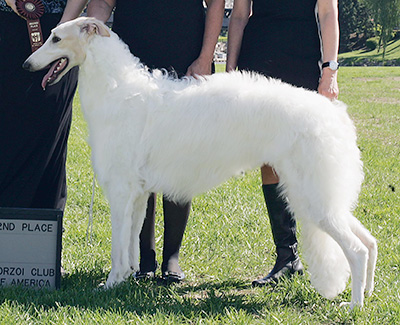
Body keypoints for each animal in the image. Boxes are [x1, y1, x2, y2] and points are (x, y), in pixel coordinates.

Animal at [23, 18, 376, 308]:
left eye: (55, 38)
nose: (27, 65)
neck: (118, 89)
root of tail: (334, 113)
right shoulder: (137, 194)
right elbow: (132, 243)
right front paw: (128, 278)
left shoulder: (120, 191)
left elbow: (117, 249)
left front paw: (110, 283)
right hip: (324, 197)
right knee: (369, 241)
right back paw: (368, 293)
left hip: (313, 197)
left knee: (357, 250)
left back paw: (354, 306)